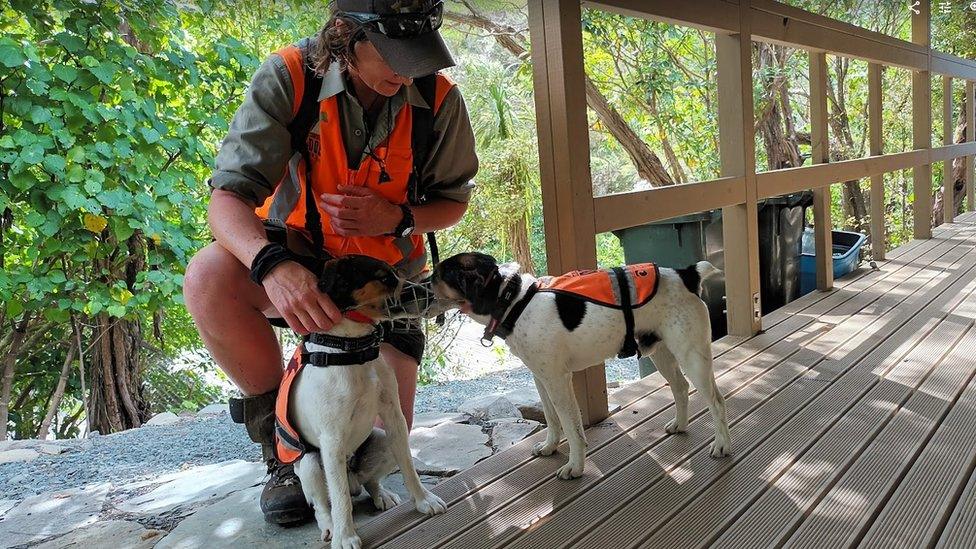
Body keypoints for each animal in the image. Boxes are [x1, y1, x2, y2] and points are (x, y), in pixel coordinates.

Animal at [276, 255, 448, 544]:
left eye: (399, 272)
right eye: (385, 278)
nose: (430, 293)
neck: (355, 351)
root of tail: (353, 478)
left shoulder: (394, 417)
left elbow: (409, 467)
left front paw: (424, 500)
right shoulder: (332, 440)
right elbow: (340, 499)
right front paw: (345, 537)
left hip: (382, 439)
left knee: (370, 482)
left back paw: (381, 495)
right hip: (310, 464)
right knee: (323, 504)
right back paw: (330, 527)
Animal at [430, 253, 728, 480]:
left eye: (440, 273)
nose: (425, 280)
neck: (514, 301)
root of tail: (686, 274)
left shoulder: (558, 381)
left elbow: (572, 428)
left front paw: (575, 466)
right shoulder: (541, 379)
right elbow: (551, 419)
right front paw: (550, 446)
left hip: (692, 356)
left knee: (717, 401)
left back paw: (722, 445)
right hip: (662, 353)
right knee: (680, 387)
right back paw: (680, 425)